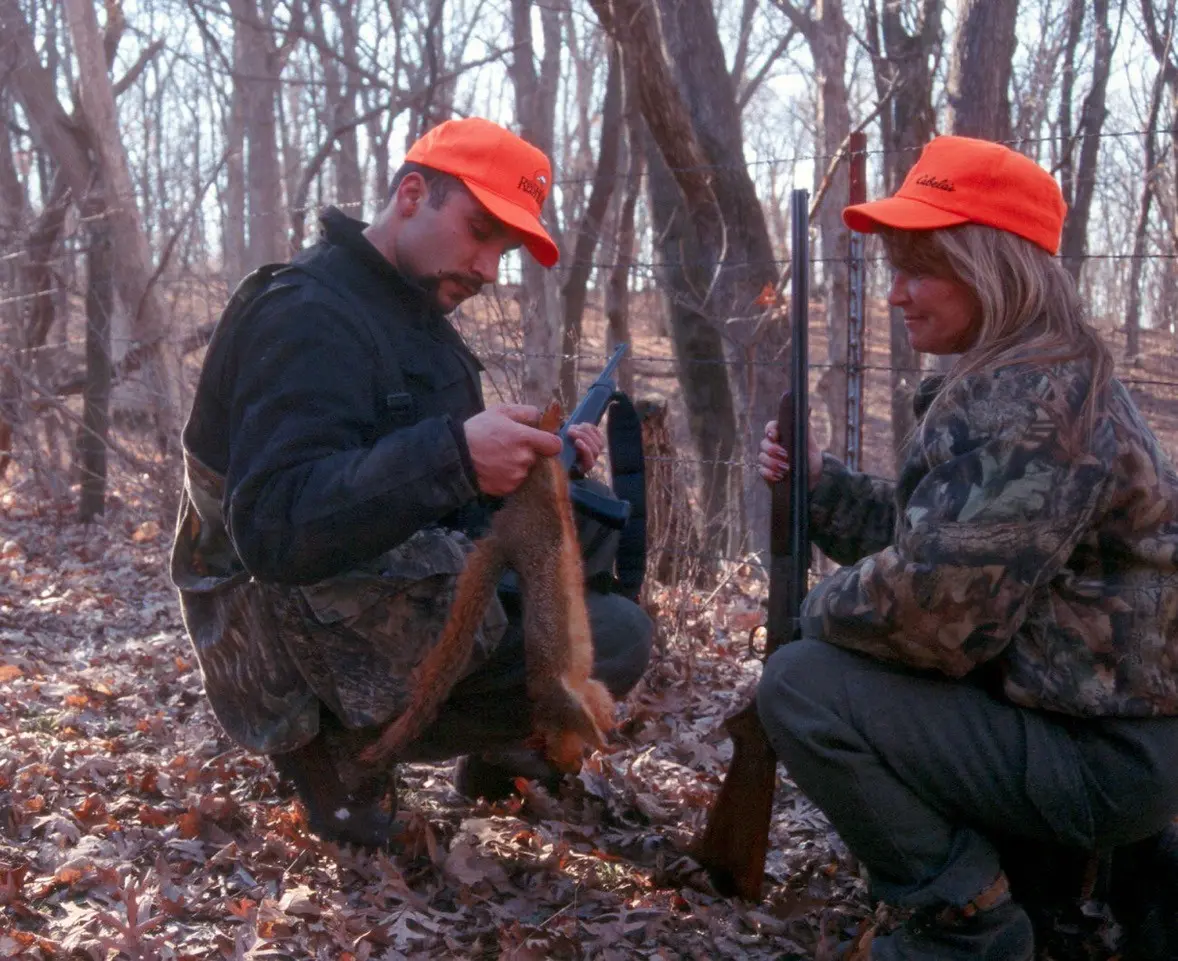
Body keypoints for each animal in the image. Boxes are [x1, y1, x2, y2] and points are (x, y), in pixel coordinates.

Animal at [358, 400, 617, 772]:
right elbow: (589, 715)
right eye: (551, 753)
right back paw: (550, 418)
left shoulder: (576, 696)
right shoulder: (566, 700)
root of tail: (504, 534)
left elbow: (598, 704)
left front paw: (608, 728)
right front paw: (605, 742)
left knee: (546, 460)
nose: (571, 770)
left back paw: (549, 418)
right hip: (541, 504)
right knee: (545, 462)